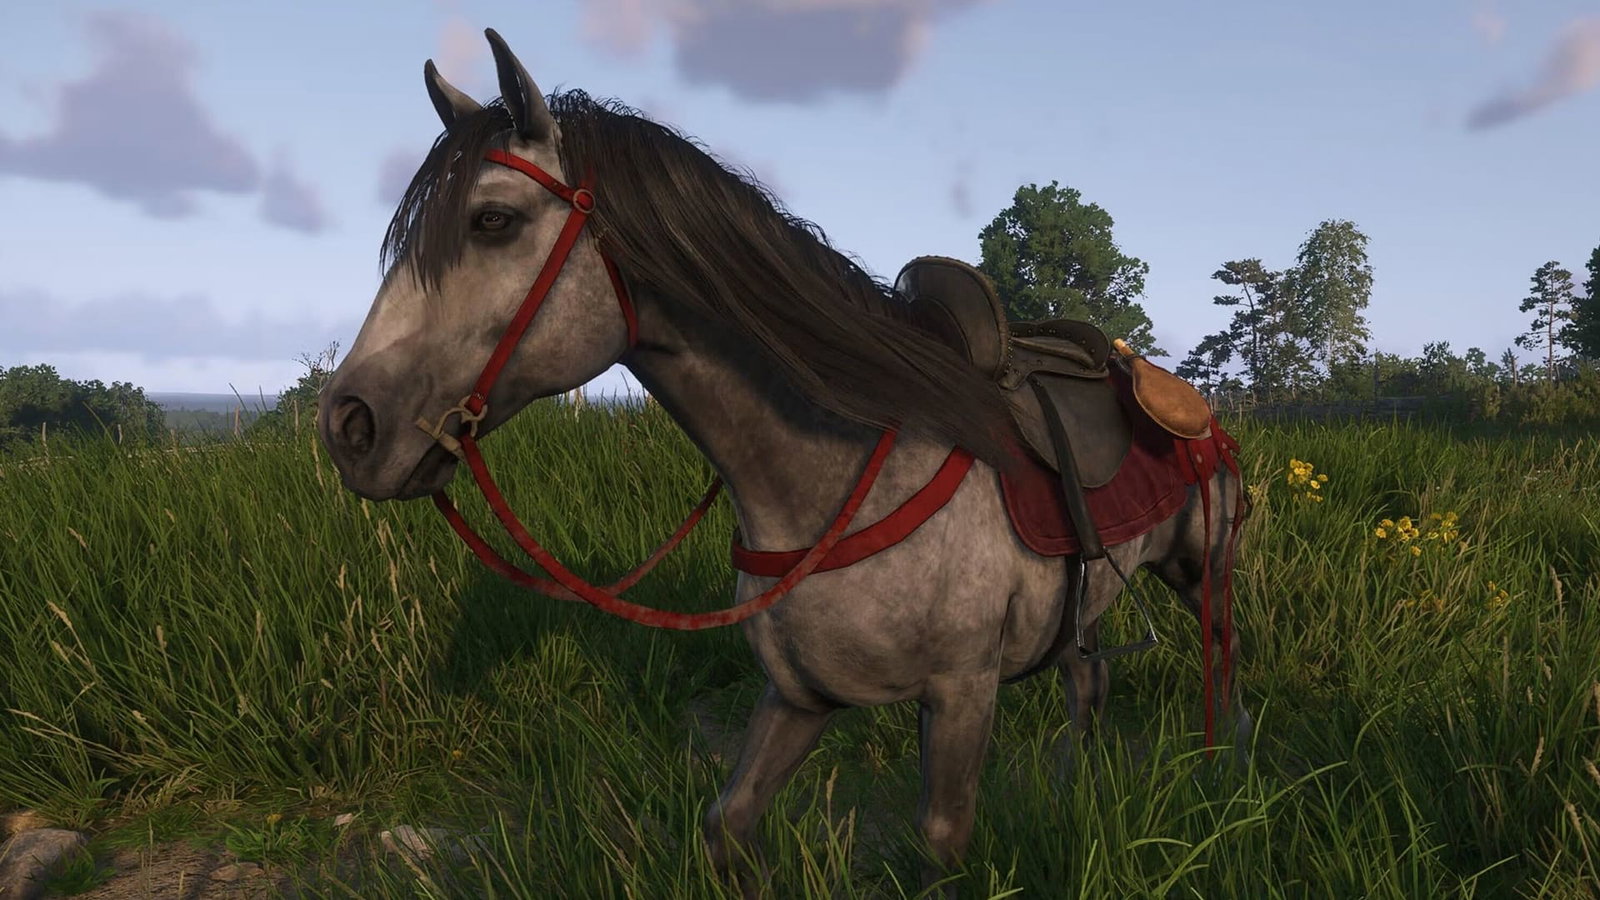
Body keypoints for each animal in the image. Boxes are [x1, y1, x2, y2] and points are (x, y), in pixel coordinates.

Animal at [317, 28, 1253, 895]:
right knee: (1088, 684)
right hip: (1086, 610)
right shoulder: (801, 696)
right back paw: (1072, 798)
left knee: (1222, 670)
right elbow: (726, 824)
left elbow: (941, 839)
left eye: (493, 221)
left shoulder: (961, 693)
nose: (349, 426)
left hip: (1200, 571)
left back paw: (1226, 787)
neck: (839, 470)